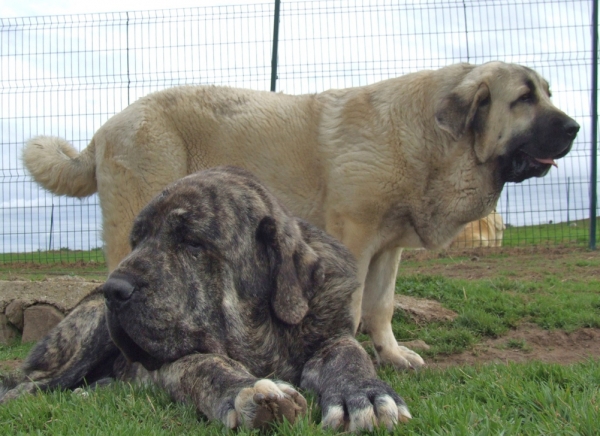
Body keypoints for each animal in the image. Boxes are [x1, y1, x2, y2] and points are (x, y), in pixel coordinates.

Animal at [0, 167, 412, 432]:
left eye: (192, 243)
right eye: (136, 241)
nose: (112, 290)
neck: (265, 339)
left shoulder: (331, 332)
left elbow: (349, 354)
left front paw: (365, 394)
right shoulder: (172, 363)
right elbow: (206, 364)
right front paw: (247, 392)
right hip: (86, 336)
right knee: (30, 384)